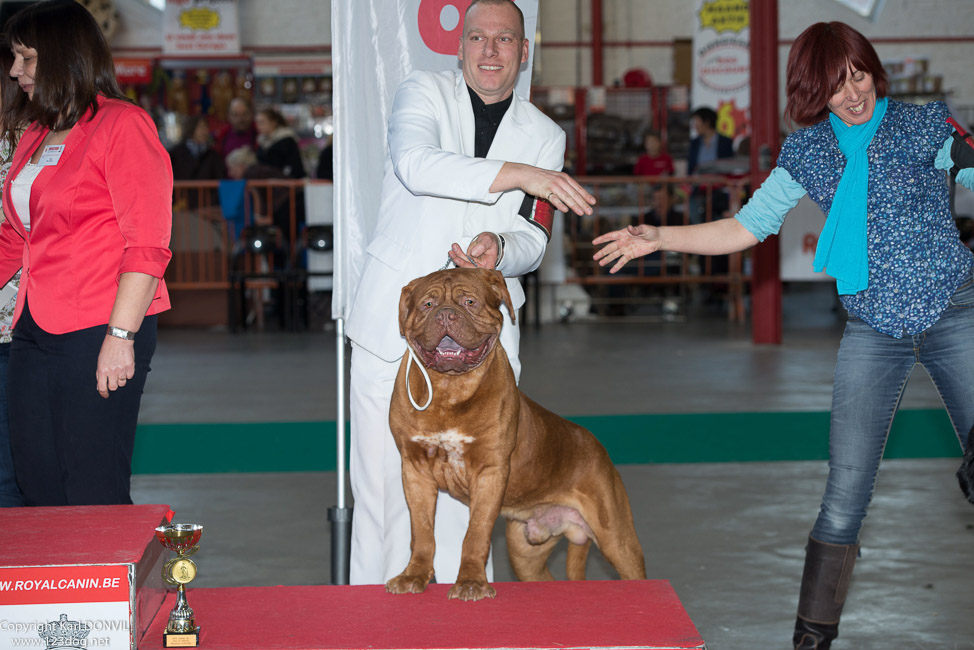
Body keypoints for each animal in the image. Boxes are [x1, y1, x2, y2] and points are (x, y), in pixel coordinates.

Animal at [386, 268, 648, 596]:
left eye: (469, 302)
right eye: (428, 304)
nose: (445, 314)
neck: (450, 389)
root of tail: (596, 446)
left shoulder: (490, 472)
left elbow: (475, 534)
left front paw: (471, 582)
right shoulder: (415, 470)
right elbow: (421, 531)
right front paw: (413, 575)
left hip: (617, 538)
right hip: (525, 552)